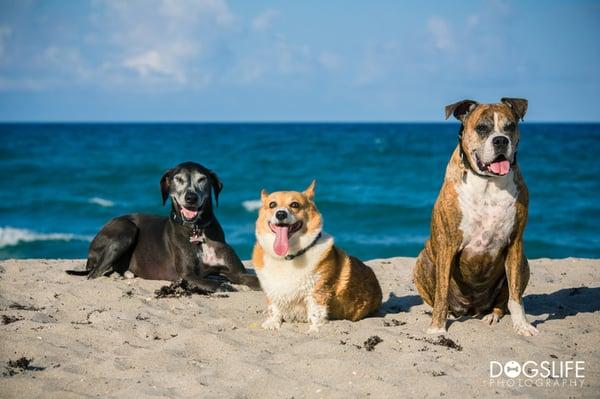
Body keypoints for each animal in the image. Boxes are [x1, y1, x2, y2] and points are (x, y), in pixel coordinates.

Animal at [68, 161, 260, 292]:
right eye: (178, 179)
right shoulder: (187, 275)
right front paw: (222, 285)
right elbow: (212, 283)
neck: (196, 229)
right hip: (126, 231)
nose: (191, 197)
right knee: (94, 274)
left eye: (202, 179)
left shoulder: (237, 272)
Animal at [251, 183, 382, 332]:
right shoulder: (272, 290)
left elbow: (316, 312)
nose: (280, 214)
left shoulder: (317, 292)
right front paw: (272, 323)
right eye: (272, 204)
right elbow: (274, 308)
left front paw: (314, 330)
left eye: (295, 204)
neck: (288, 256)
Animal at [414, 97, 536, 338]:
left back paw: (493, 315)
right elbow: (441, 293)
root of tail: (471, 307)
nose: (501, 140)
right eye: (482, 128)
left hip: (524, 264)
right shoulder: (448, 244)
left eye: (510, 126)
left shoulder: (515, 243)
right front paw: (437, 328)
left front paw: (522, 325)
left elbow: (515, 295)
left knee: (503, 299)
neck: (488, 182)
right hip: (423, 261)